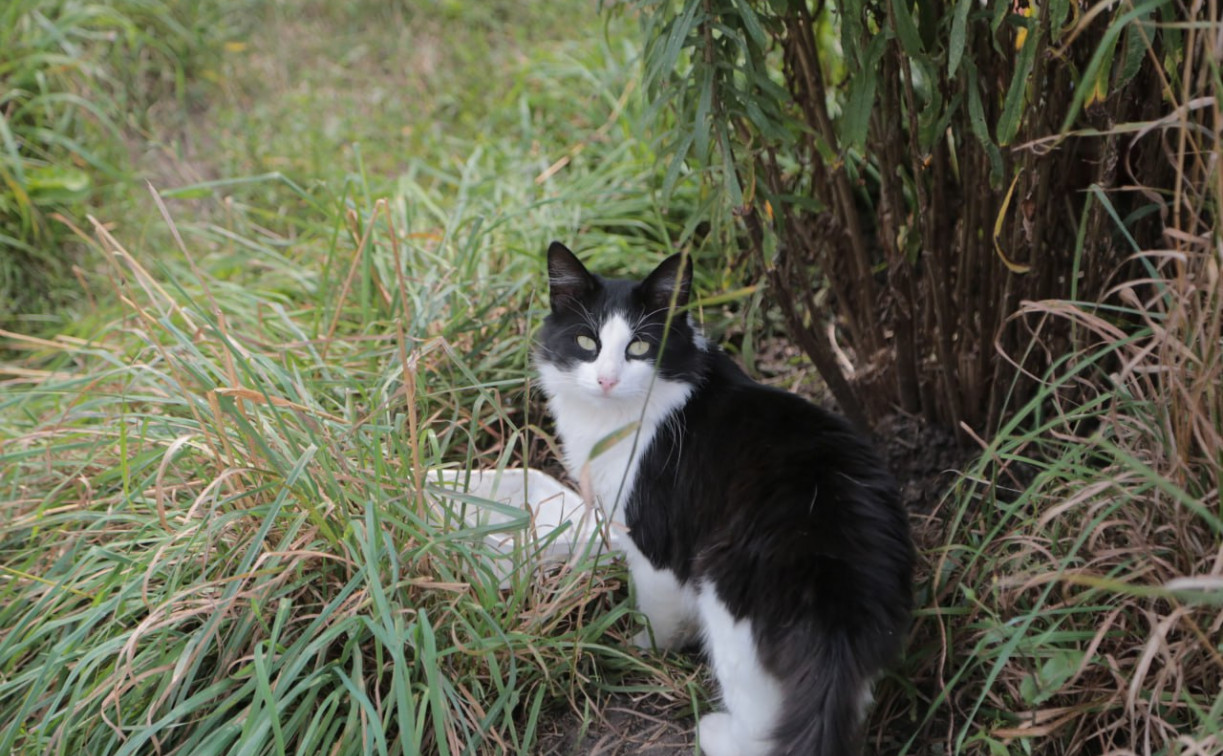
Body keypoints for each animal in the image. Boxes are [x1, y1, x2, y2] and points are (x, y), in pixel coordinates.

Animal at [530, 240, 914, 753]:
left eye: (639, 347)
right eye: (587, 344)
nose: (607, 380)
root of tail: (838, 592)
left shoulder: (654, 544)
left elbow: (657, 612)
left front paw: (644, 648)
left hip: (727, 601)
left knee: (762, 727)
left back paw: (714, 731)